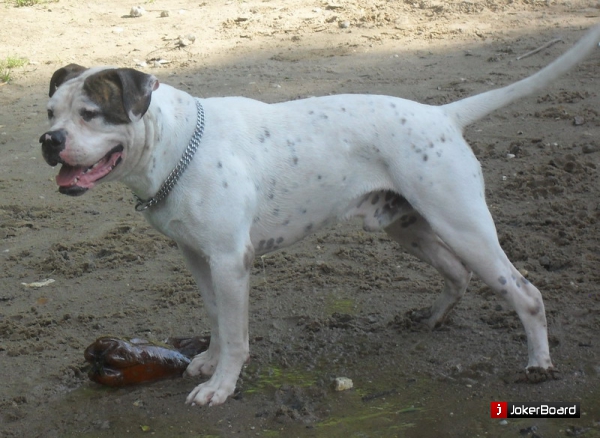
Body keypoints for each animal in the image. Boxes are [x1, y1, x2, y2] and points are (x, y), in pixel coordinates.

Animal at [40, 24, 600, 406]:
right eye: (49, 112)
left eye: (91, 114)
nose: (49, 140)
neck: (177, 145)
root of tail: (442, 115)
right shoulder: (199, 258)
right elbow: (217, 319)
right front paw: (207, 362)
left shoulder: (230, 262)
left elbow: (237, 334)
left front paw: (222, 386)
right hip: (410, 228)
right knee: (457, 275)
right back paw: (432, 320)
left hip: (465, 228)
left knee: (525, 292)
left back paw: (538, 364)